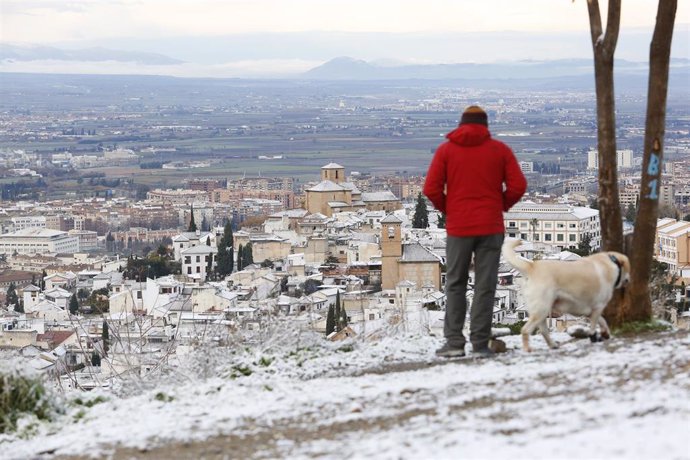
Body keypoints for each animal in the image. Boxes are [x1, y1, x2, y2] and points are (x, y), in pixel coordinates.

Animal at [500, 239, 628, 350]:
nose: (628, 281)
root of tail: (532, 266)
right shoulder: (598, 307)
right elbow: (595, 324)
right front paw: (594, 337)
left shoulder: (590, 311)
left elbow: (602, 320)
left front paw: (605, 333)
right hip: (541, 309)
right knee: (526, 330)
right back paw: (528, 349)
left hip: (542, 311)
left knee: (543, 330)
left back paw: (552, 345)